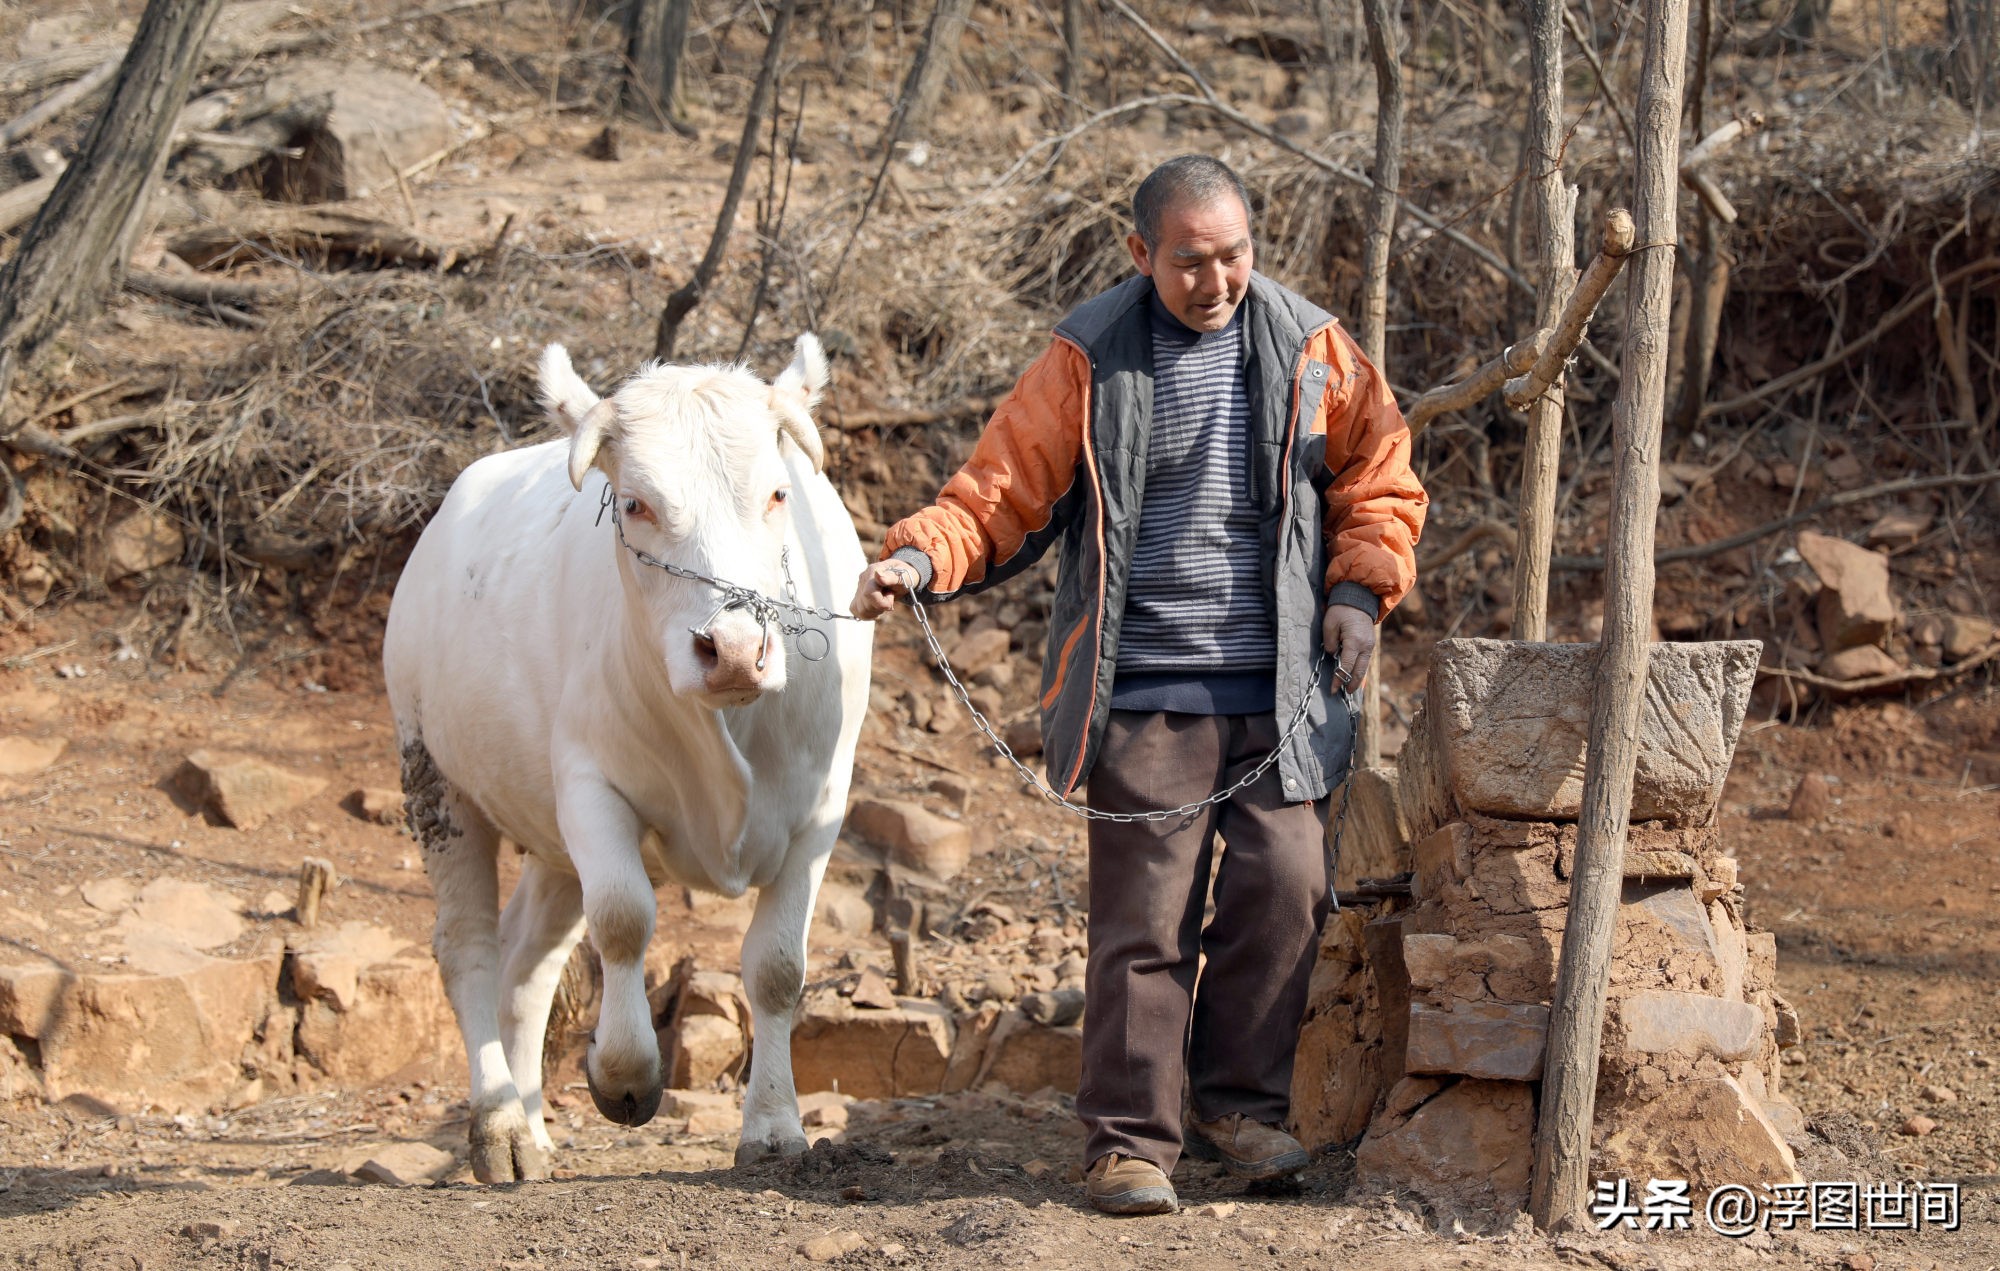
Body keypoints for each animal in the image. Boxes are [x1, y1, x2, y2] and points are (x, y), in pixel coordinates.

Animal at [382, 337, 868, 1183]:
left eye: (778, 494)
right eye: (636, 504)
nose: (732, 648)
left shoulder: (821, 809)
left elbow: (777, 966)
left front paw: (773, 1126)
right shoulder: (590, 786)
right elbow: (624, 918)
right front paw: (624, 1074)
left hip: (547, 847)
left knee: (528, 962)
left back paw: (532, 1127)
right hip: (435, 779)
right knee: (470, 947)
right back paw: (500, 1123)